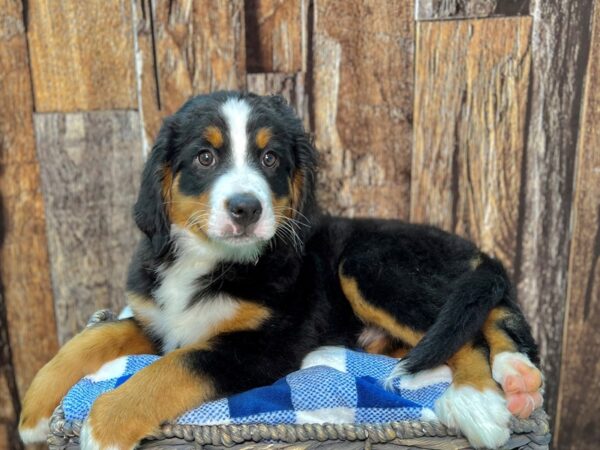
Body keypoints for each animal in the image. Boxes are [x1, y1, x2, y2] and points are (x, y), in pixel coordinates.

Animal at [18, 92, 544, 450]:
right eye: (205, 157)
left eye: (270, 158)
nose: (245, 208)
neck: (209, 260)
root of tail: (470, 246)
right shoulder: (161, 321)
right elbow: (94, 337)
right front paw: (34, 411)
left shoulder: (262, 345)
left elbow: (172, 368)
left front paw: (104, 423)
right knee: (488, 314)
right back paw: (516, 374)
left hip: (366, 264)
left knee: (464, 327)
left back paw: (480, 401)